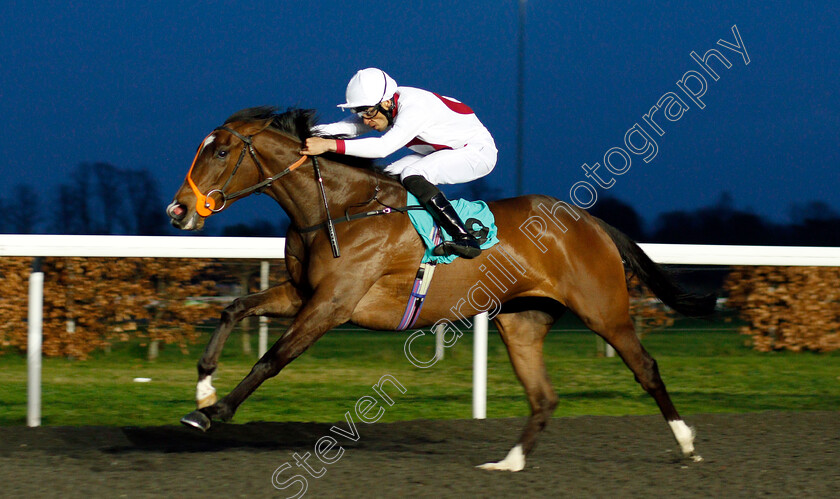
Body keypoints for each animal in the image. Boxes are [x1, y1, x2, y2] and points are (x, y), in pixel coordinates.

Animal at [166, 107, 716, 470]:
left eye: (220, 150)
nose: (178, 211)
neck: (337, 209)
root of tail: (588, 220)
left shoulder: (334, 303)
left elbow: (271, 359)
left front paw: (213, 413)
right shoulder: (303, 294)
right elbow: (234, 308)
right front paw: (204, 387)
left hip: (604, 310)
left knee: (645, 369)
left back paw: (687, 443)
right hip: (521, 321)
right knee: (544, 396)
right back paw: (509, 463)